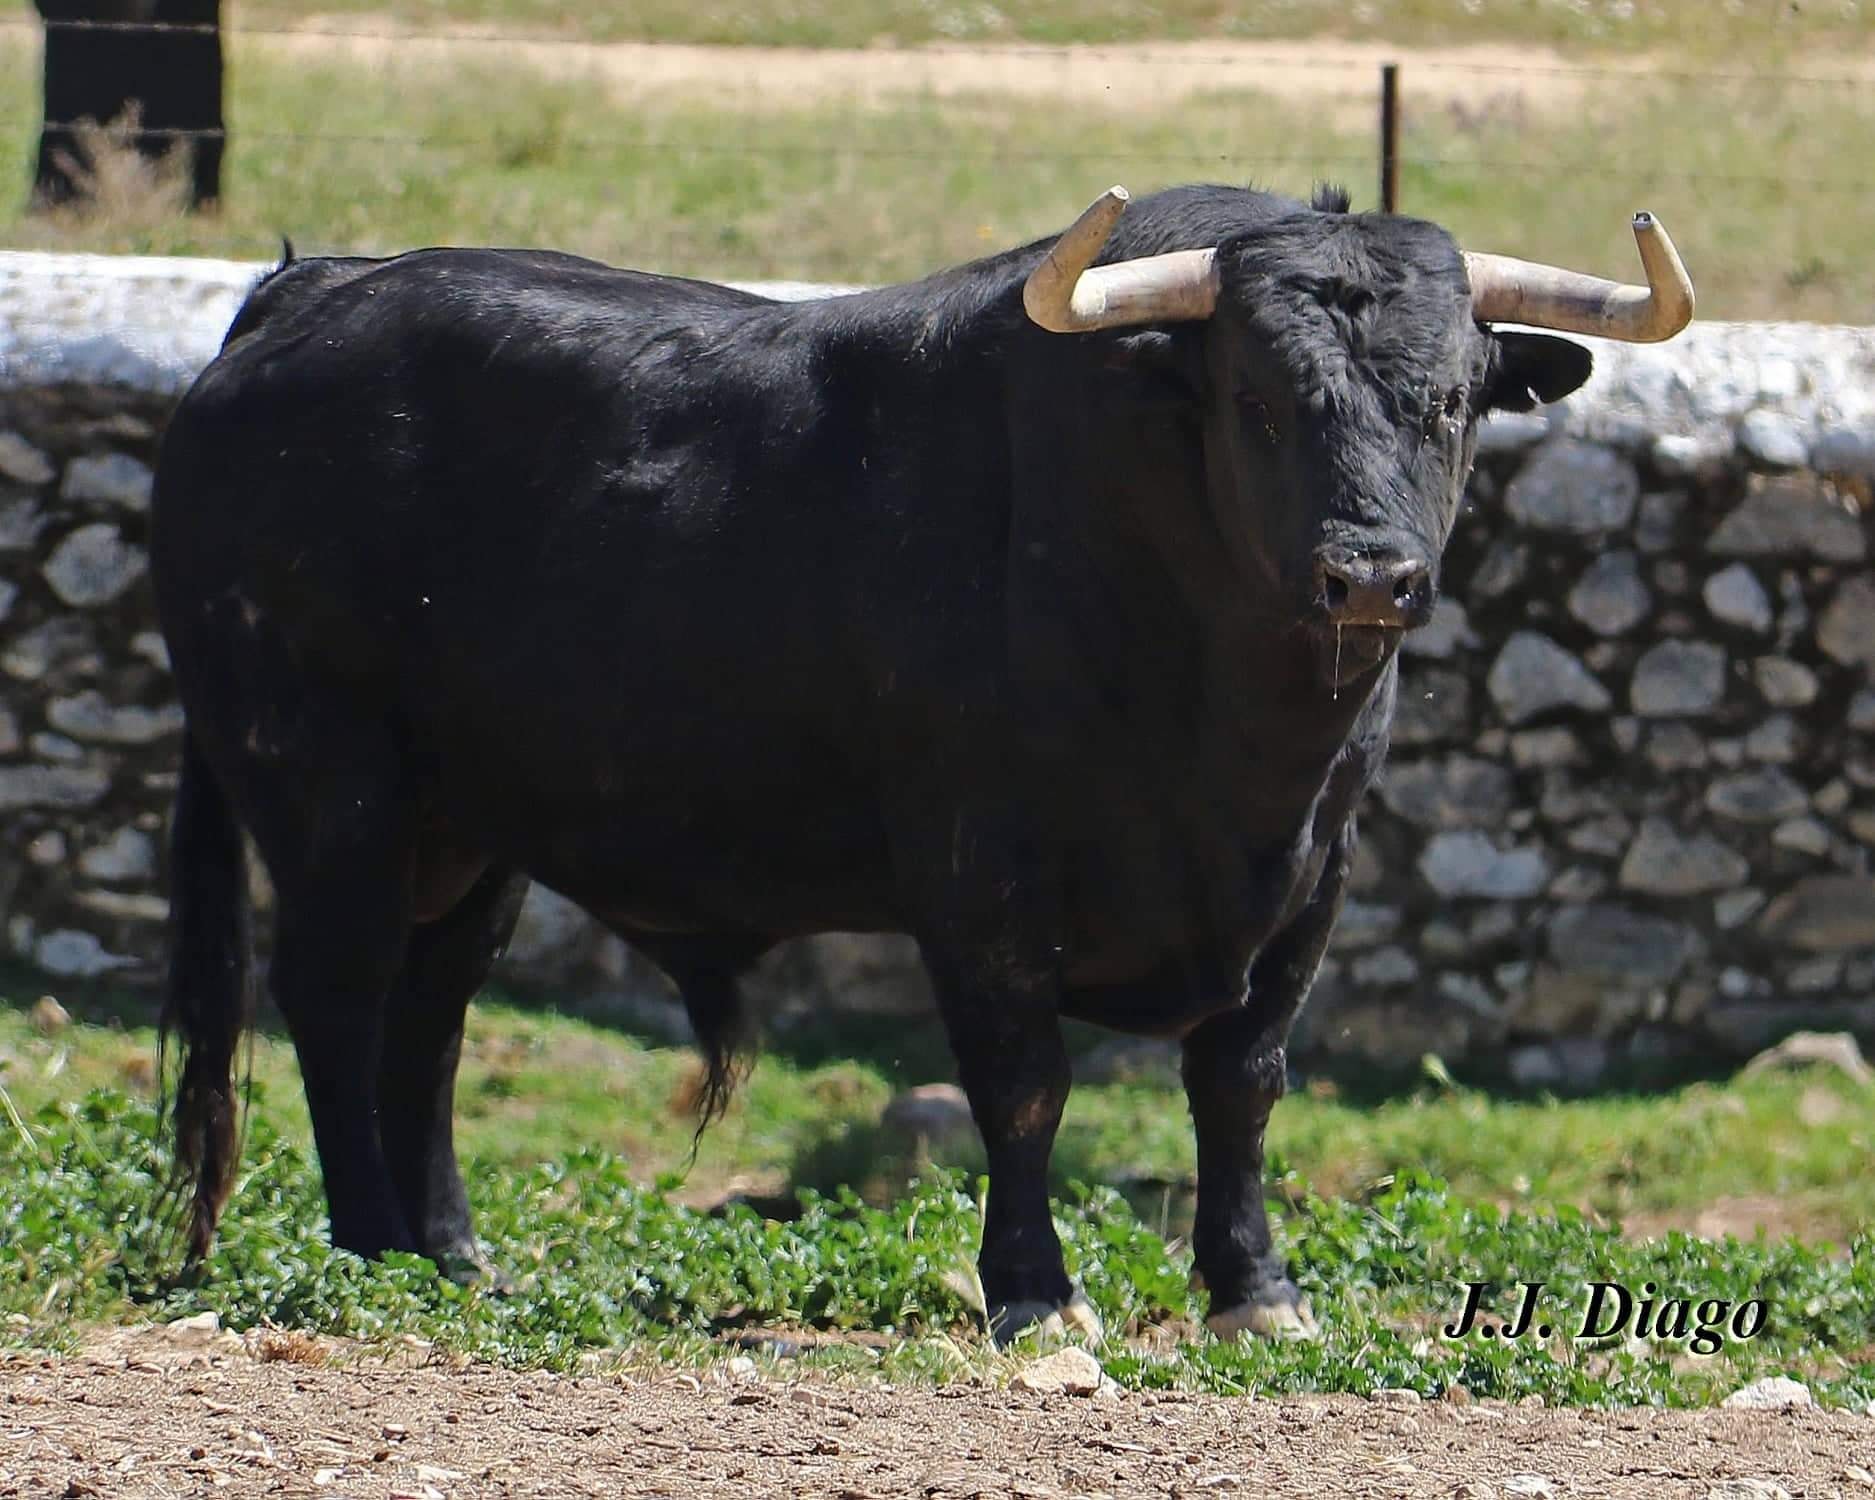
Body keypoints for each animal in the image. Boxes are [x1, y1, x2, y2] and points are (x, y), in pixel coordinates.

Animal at [152, 182, 1691, 1343]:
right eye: (1259, 400)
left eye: (1453, 401)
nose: (1371, 577)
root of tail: (304, 294)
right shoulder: (978, 875)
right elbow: (1021, 1086)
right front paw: (1035, 1293)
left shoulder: (1313, 874)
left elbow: (1240, 1085)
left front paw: (1254, 1290)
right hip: (328, 789)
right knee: (337, 1003)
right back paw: (371, 1249)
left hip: (472, 830)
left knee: (430, 1019)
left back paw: (455, 1255)